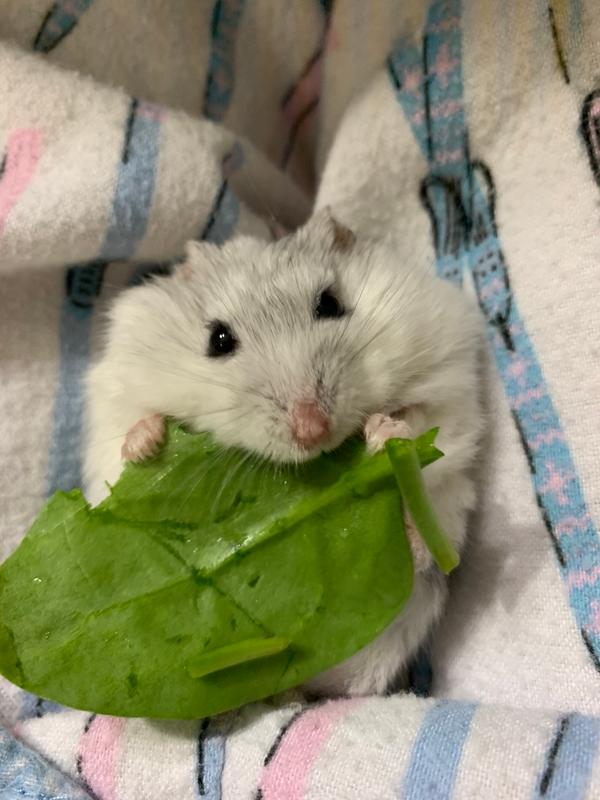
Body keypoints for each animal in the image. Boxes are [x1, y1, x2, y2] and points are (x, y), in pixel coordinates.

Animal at [84, 209, 486, 696]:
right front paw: (146, 445)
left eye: (330, 304)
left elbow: (424, 422)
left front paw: (384, 431)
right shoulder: (114, 394)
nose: (313, 431)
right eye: (219, 340)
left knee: (429, 553)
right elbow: (128, 432)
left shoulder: (448, 377)